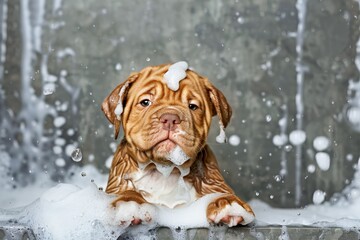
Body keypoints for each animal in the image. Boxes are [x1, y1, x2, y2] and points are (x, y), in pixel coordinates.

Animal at [100, 62, 253, 227]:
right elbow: (128, 191)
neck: (164, 171)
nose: (170, 118)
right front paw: (130, 203)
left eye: (193, 106)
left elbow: (219, 192)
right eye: (145, 102)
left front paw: (227, 202)